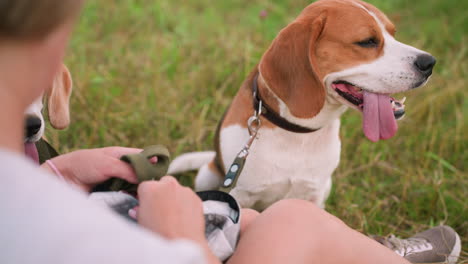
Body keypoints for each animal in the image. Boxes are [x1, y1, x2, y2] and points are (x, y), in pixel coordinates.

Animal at [170, 0, 436, 210]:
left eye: (393, 33)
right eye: (367, 41)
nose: (430, 62)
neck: (298, 133)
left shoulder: (314, 195)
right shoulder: (239, 196)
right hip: (207, 176)